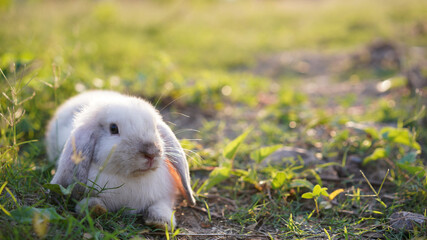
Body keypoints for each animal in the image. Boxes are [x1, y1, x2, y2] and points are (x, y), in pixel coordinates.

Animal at [46, 90, 196, 227]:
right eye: (113, 128)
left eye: (155, 128)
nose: (152, 152)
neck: (132, 178)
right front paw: (95, 209)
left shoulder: (165, 194)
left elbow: (160, 205)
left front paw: (160, 222)